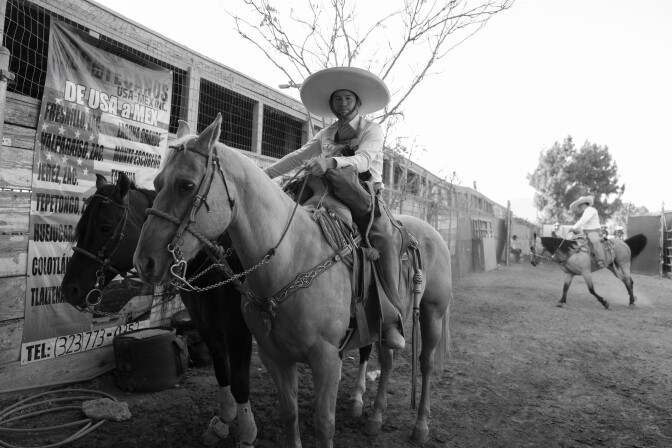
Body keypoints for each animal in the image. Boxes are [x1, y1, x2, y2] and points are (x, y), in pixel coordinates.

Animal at [59, 173, 258, 446]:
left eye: (105, 227)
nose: (70, 289)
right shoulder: (206, 323)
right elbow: (222, 370)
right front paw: (223, 422)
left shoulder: (238, 328)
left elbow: (239, 380)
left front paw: (247, 433)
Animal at [133, 115, 452, 448]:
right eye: (156, 183)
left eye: (186, 185)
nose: (145, 262)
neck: (291, 258)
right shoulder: (272, 355)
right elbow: (287, 412)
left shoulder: (325, 359)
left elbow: (323, 424)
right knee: (387, 360)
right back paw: (374, 417)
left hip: (432, 312)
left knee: (425, 363)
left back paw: (419, 425)